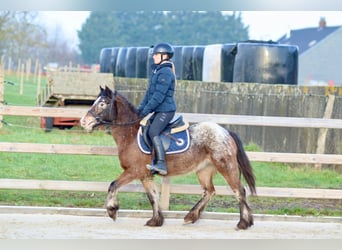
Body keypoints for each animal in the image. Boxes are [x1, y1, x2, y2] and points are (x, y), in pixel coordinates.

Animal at [81, 86, 256, 230]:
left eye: (102, 104)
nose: (83, 122)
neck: (130, 135)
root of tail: (225, 131)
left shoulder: (134, 171)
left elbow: (113, 185)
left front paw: (112, 210)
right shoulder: (145, 175)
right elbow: (153, 196)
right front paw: (156, 220)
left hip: (226, 167)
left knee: (239, 190)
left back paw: (243, 223)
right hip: (204, 170)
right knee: (209, 191)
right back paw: (191, 217)